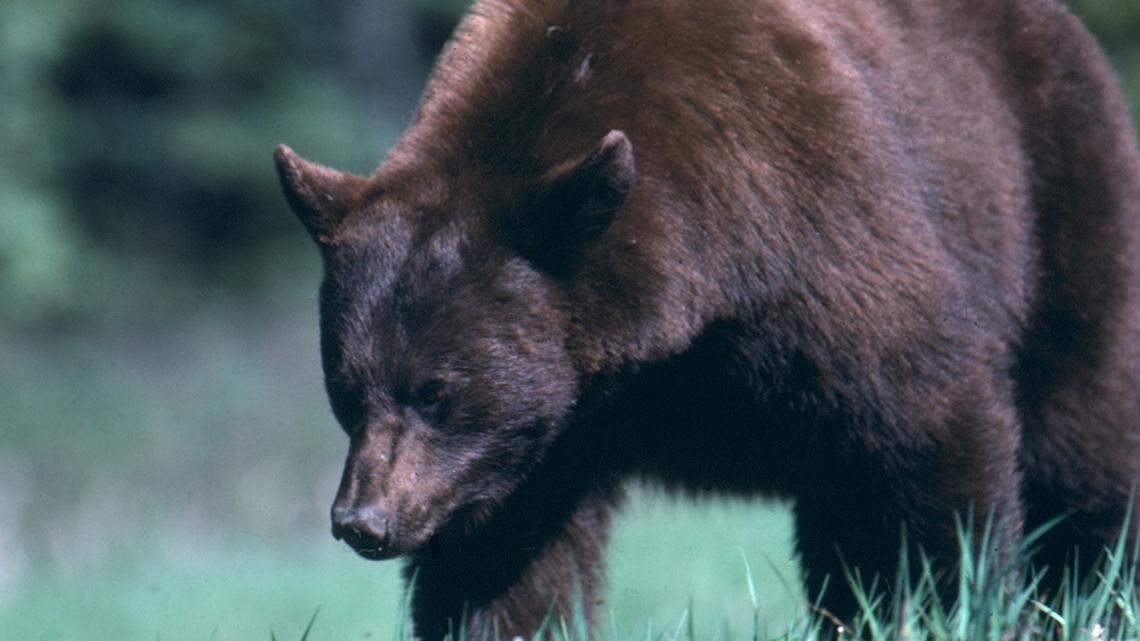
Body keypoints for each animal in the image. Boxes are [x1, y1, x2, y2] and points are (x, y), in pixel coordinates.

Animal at [273, 0, 1140, 639]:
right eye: (346, 389)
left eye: (436, 391)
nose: (362, 520)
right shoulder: (545, 435)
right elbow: (506, 559)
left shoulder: (822, 235)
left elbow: (928, 436)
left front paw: (942, 604)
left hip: (1060, 200)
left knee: (1083, 435)